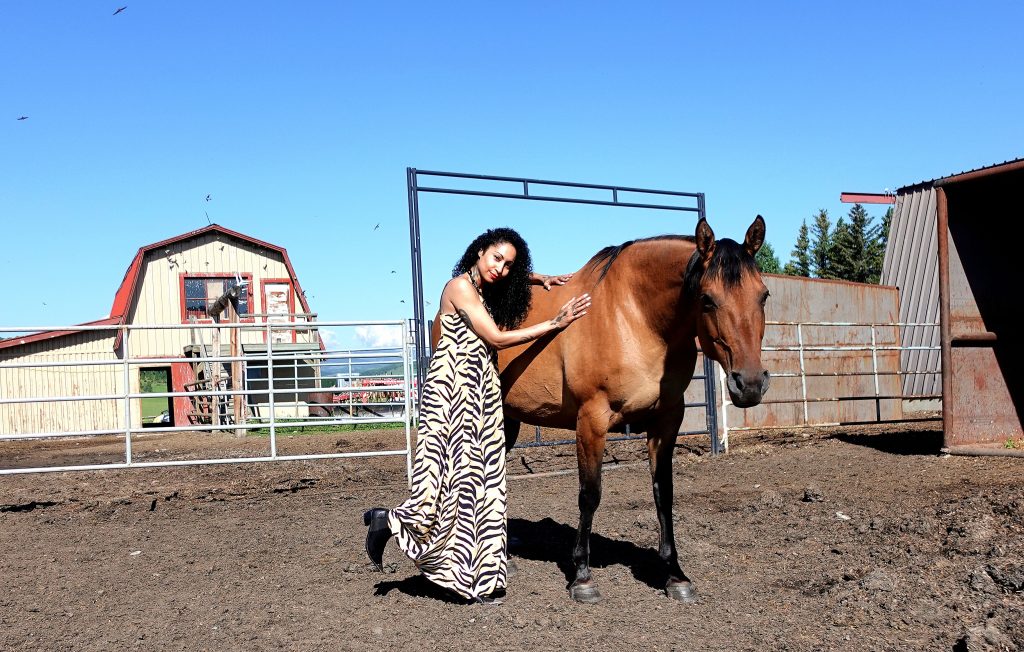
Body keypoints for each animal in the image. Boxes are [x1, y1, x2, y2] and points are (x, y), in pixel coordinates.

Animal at [495, 215, 770, 601]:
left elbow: (663, 494)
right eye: (707, 299)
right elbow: (589, 494)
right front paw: (582, 577)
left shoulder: (666, 421)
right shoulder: (591, 420)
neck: (636, 318)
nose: (750, 384)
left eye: (764, 295)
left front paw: (675, 576)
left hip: (510, 420)